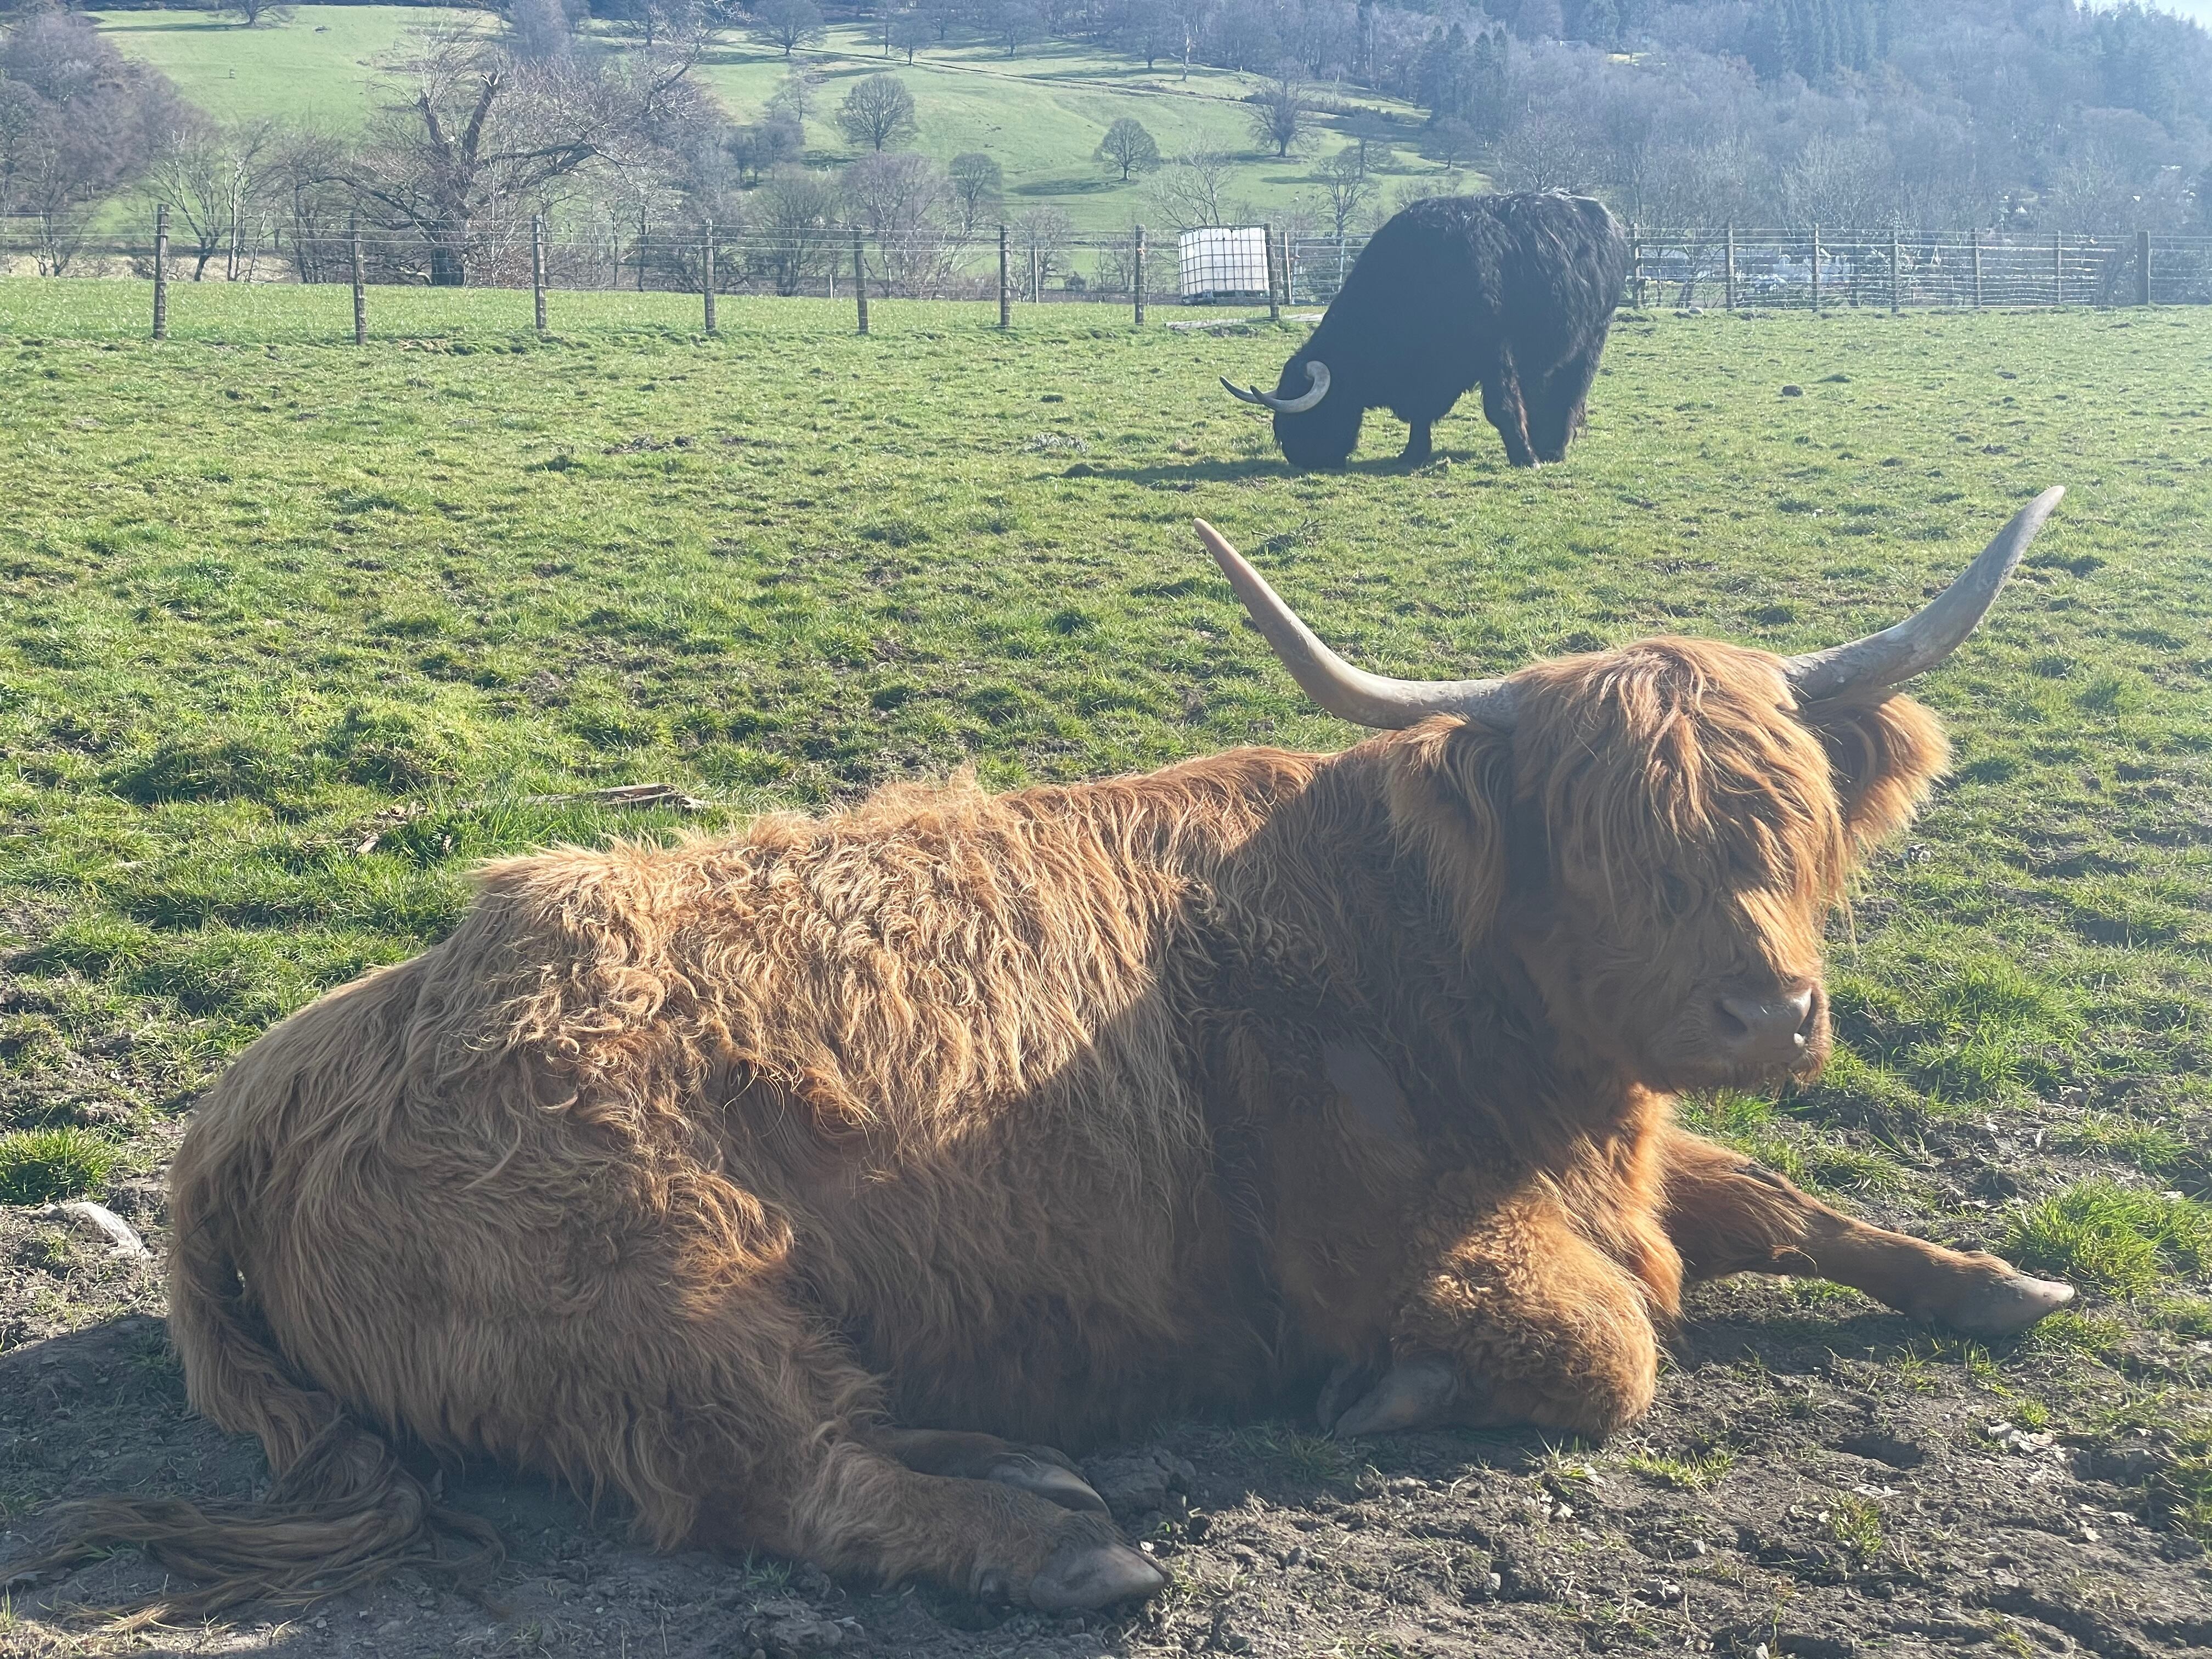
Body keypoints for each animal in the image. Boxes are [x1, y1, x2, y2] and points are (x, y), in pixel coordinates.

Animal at [31, 491, 2076, 1625]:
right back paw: (1067, 1550)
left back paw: (1051, 1465)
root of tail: (272, 1084)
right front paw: (1399, 1394)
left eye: (1786, 814)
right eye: (1598, 837)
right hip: (644, 1280)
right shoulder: (1389, 1251)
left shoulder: (1637, 1149)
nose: (1769, 1011)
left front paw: (2005, 1280)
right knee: (773, 1476)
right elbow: (1618, 1341)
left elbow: (1789, 1206)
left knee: (828, 1422)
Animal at [1221, 191, 1630, 469]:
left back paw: (1553, 449)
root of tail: (1602, 215)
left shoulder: (1494, 353)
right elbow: (1422, 414)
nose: (1299, 455)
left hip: (1591, 341)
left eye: (1309, 415)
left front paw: (1525, 458)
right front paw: (1413, 453)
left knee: (1570, 392)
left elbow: (1501, 408)